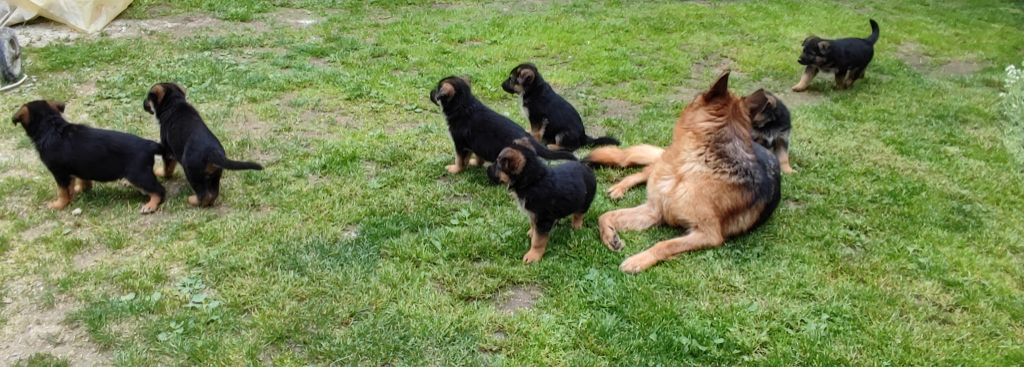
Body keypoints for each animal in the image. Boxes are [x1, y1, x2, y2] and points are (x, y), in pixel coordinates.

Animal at [12, 100, 164, 215]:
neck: (52, 127)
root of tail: (149, 144)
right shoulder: (76, 169)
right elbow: (78, 182)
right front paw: (78, 191)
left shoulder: (59, 173)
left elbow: (62, 191)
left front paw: (59, 205)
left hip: (138, 175)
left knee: (159, 190)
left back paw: (151, 205)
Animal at [428, 75, 581, 179]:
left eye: (437, 90)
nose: (430, 92)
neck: (463, 105)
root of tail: (530, 140)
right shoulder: (476, 143)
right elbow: (478, 156)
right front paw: (474, 163)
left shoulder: (460, 144)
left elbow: (459, 159)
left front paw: (455, 169)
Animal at [585, 71, 782, 272]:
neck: (697, 164)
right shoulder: (654, 209)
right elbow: (605, 215)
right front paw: (609, 236)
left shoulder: (707, 234)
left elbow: (665, 244)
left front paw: (638, 260)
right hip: (660, 166)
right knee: (642, 171)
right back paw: (619, 188)